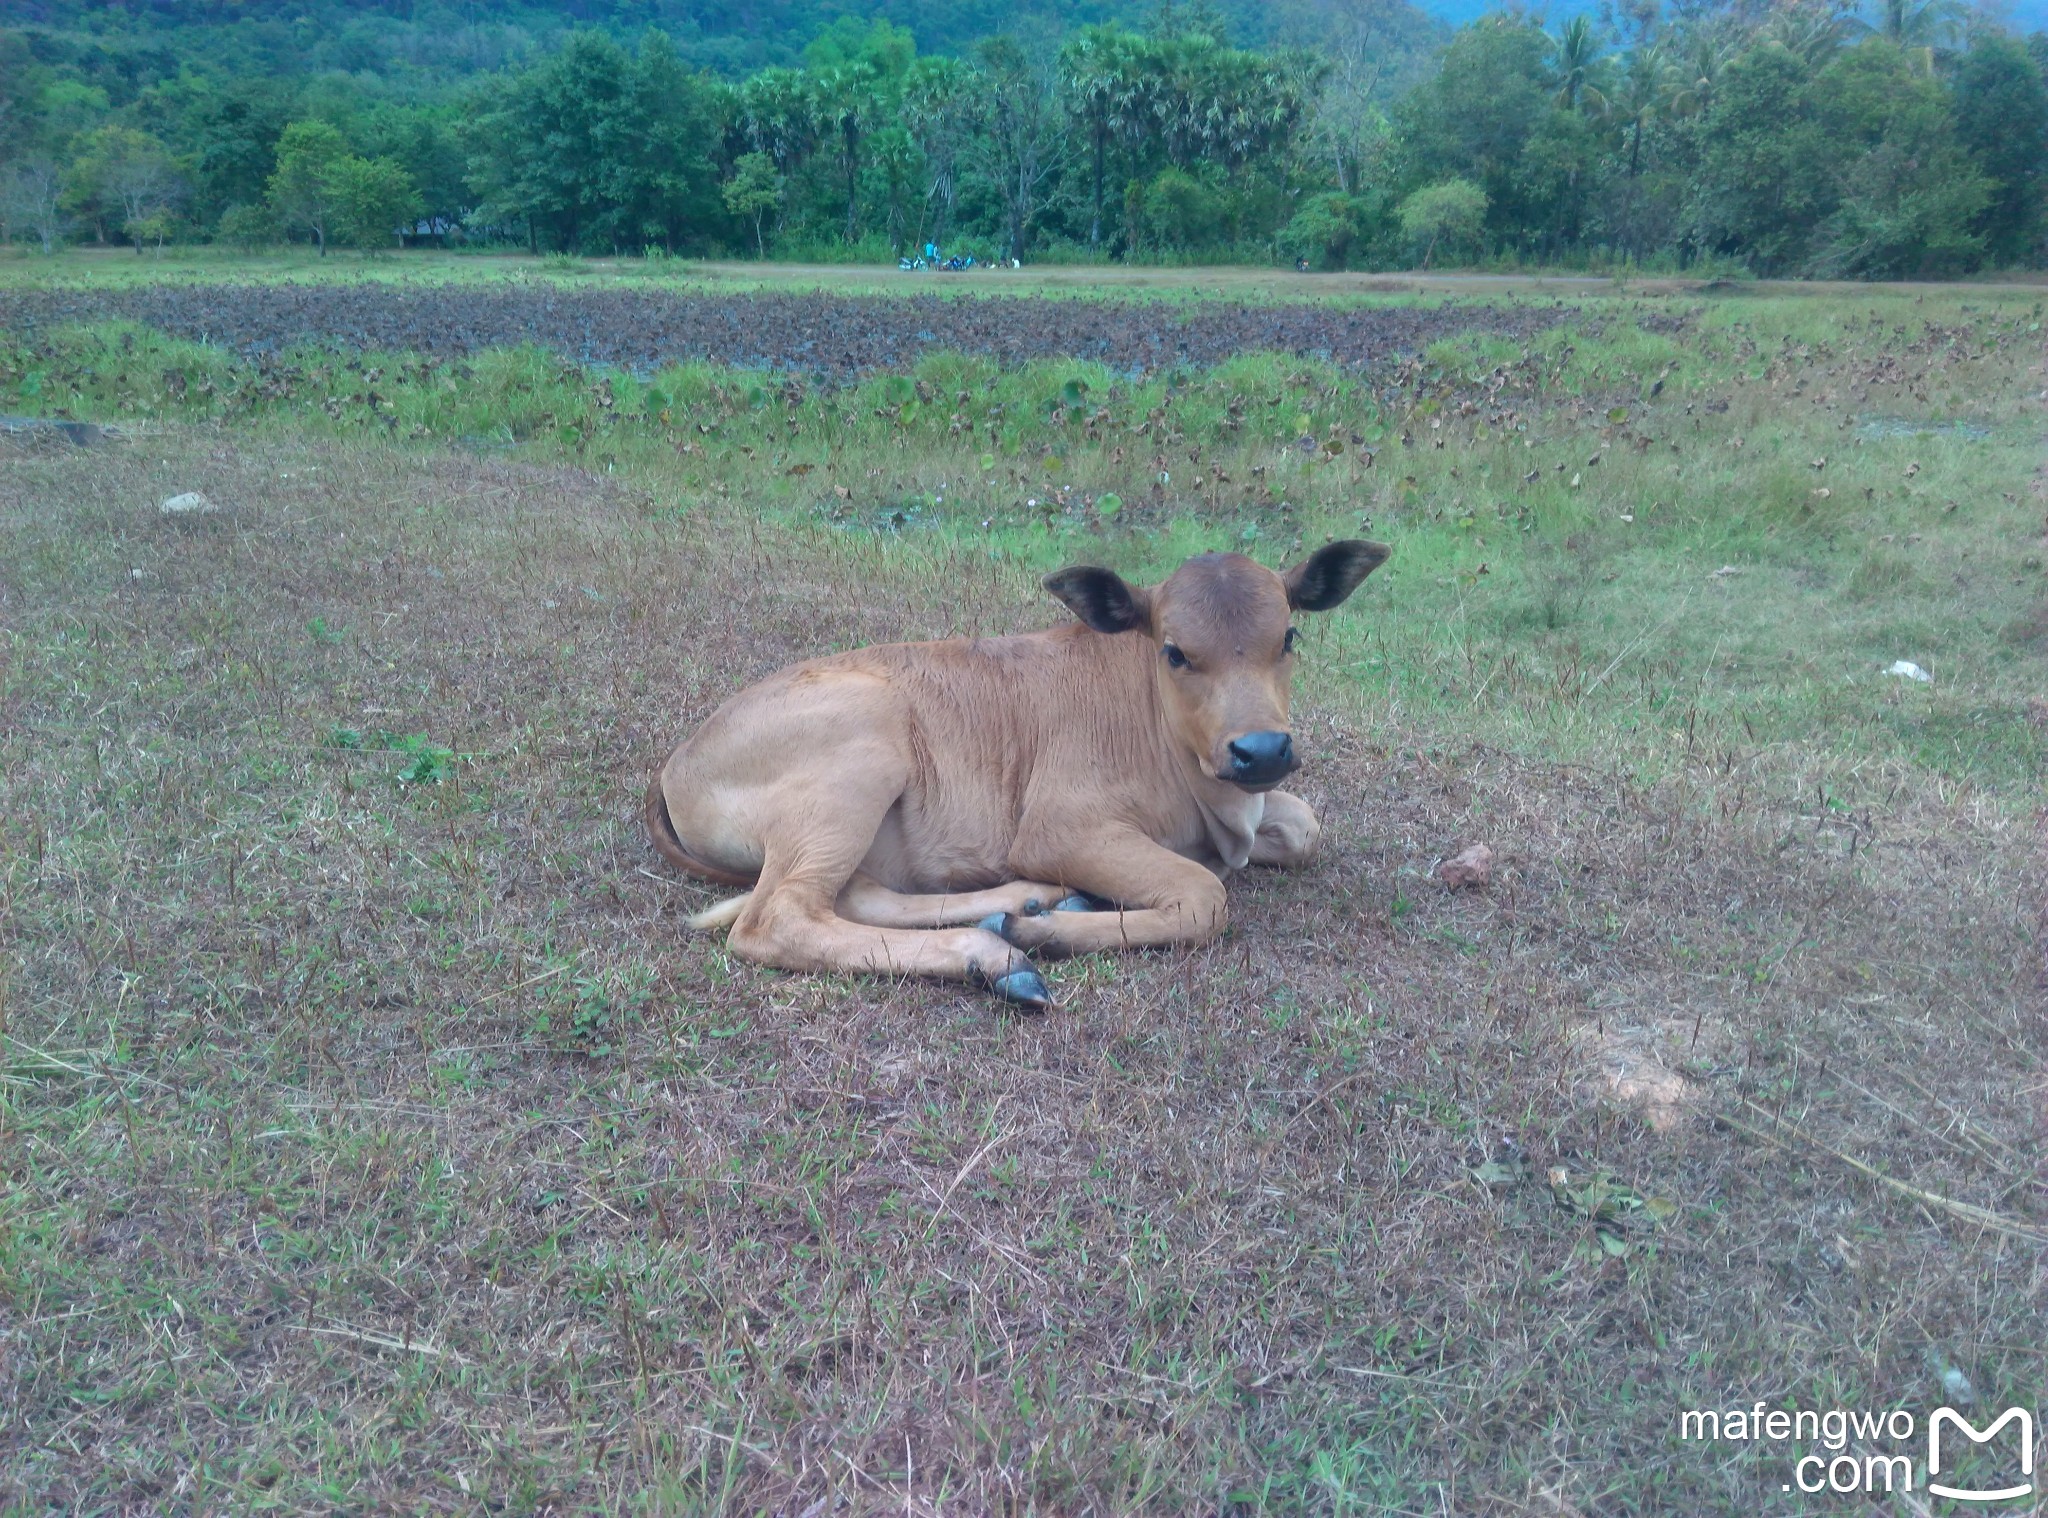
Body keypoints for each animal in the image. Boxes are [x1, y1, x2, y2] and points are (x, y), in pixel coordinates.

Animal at [647, 540, 1392, 1007]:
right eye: (1176, 651)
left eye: (1289, 636)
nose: (1261, 750)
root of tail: (677, 762)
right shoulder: (1061, 827)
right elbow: (1205, 896)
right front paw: (1047, 936)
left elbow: (1304, 827)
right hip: (858, 756)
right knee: (777, 919)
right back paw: (1002, 955)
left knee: (858, 897)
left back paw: (1026, 904)